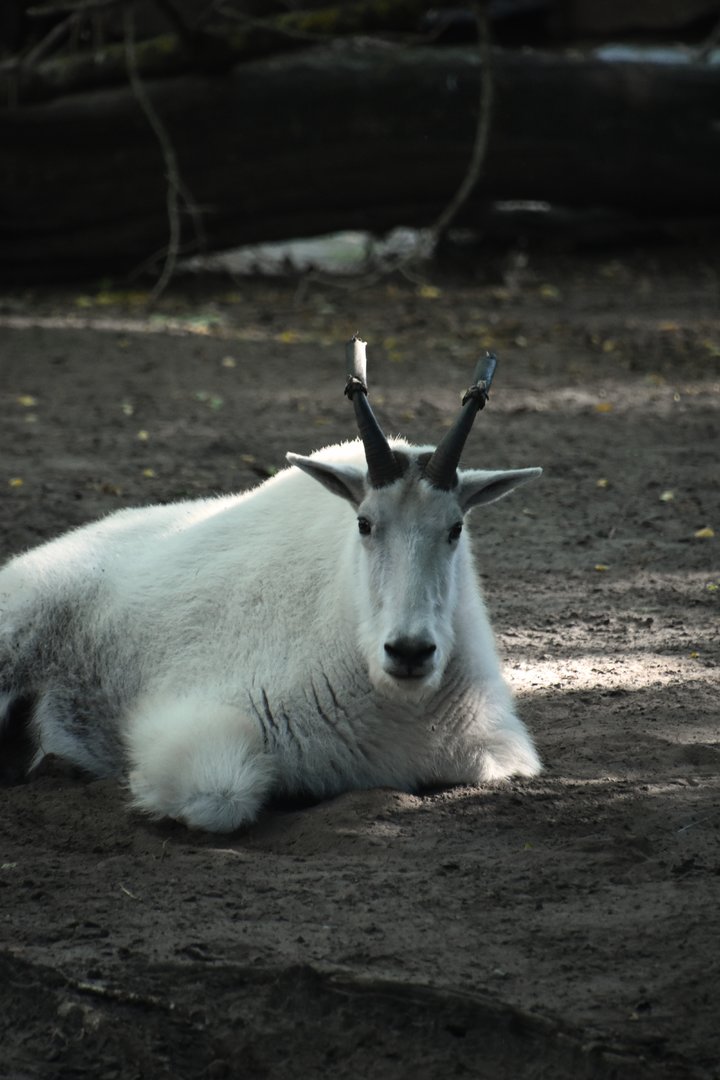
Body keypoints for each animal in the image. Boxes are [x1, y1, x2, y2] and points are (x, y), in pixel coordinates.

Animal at [0, 337, 542, 832]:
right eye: (364, 523)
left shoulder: (495, 746)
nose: (409, 651)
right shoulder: (199, 725)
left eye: (455, 528)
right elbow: (218, 797)